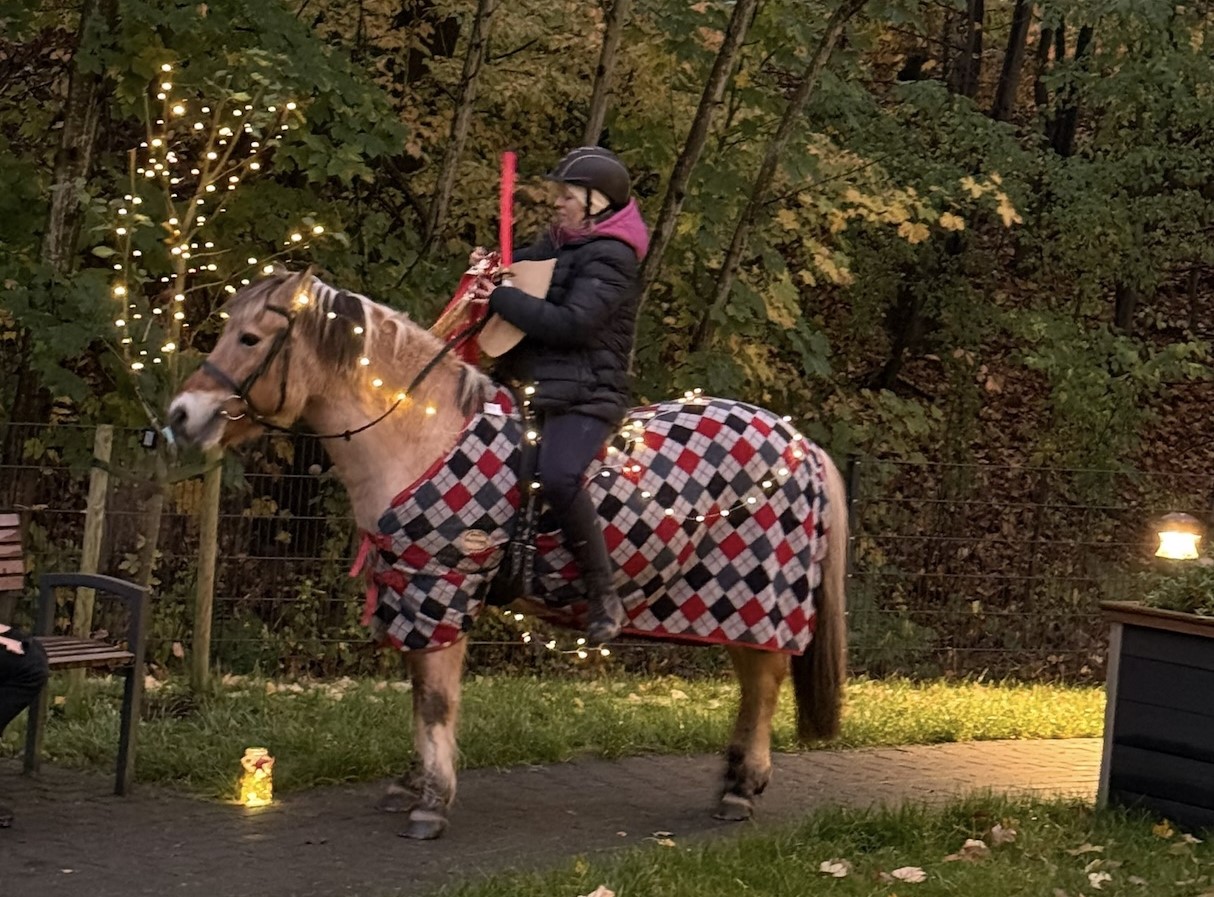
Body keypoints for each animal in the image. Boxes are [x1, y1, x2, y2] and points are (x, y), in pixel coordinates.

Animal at [168, 268, 854, 839]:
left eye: (250, 338)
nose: (181, 415)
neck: (421, 434)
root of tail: (801, 444)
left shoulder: (442, 589)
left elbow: (436, 701)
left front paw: (431, 802)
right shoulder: (413, 594)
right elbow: (419, 696)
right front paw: (413, 784)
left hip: (760, 598)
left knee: (765, 683)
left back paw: (741, 791)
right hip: (724, 606)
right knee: (752, 684)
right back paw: (736, 781)